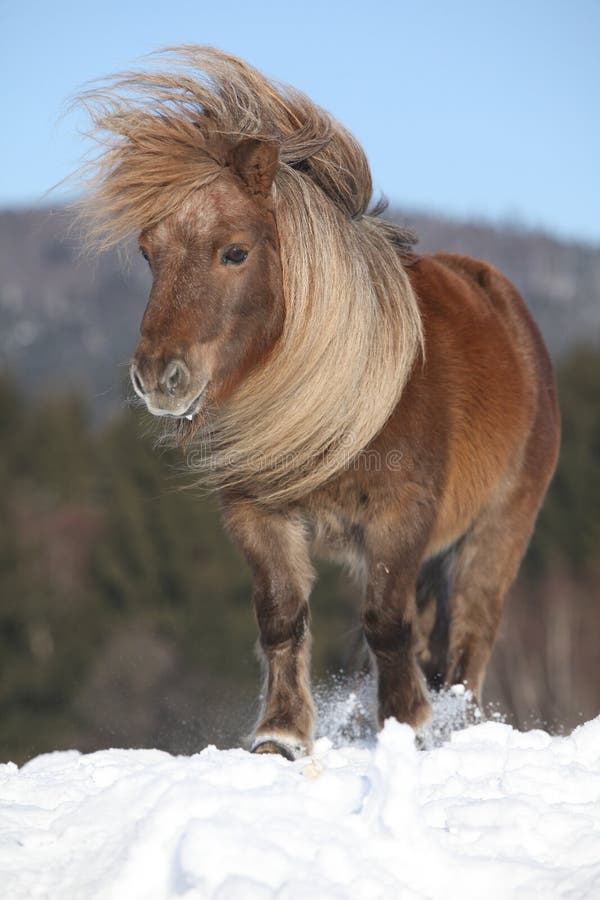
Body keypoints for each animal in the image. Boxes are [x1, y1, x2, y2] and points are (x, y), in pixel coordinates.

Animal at [77, 47, 560, 760]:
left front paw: (406, 725)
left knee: (471, 635)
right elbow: (282, 617)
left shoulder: (401, 516)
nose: (158, 377)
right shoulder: (257, 515)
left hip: (498, 529)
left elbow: (386, 623)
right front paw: (281, 734)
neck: (343, 394)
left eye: (235, 252)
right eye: (148, 252)